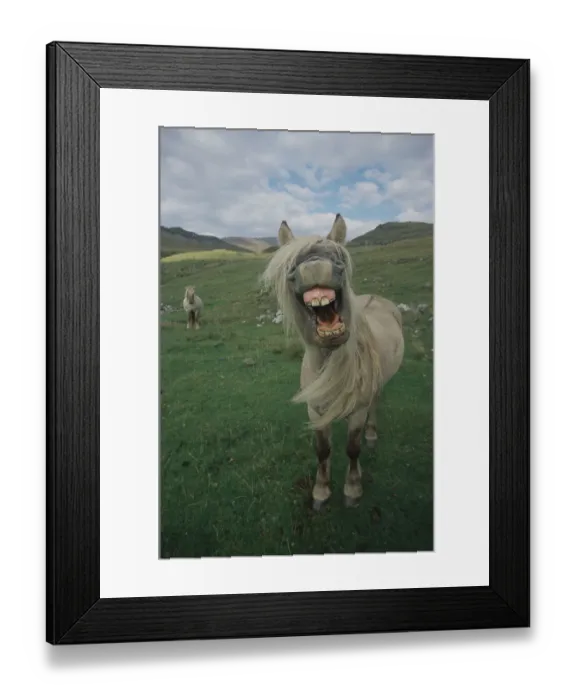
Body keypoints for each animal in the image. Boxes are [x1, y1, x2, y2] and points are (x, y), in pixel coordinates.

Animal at [261, 213, 405, 510]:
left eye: (339, 256)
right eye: (291, 265)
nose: (315, 267)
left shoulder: (358, 410)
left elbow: (352, 448)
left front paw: (353, 489)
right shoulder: (315, 411)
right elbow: (322, 450)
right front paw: (321, 491)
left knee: (375, 404)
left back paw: (371, 435)